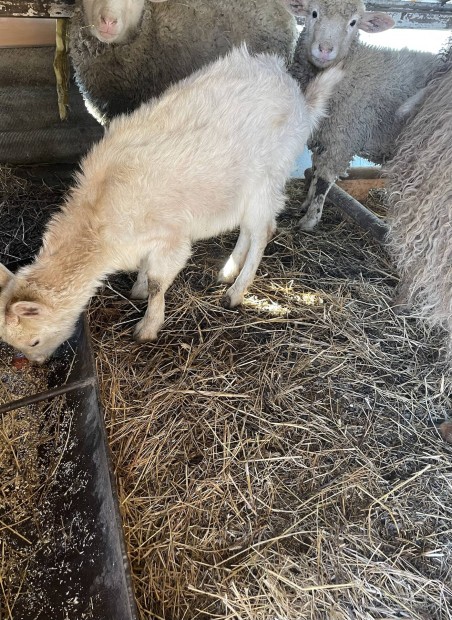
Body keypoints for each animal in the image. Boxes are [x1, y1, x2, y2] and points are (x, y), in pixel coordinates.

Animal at [0, 46, 342, 363]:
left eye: (33, 341)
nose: (39, 362)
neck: (98, 214)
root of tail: (299, 100)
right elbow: (145, 270)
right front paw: (137, 288)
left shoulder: (171, 237)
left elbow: (158, 282)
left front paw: (148, 327)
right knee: (247, 229)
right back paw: (227, 272)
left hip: (267, 178)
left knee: (263, 230)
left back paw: (235, 293)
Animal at [281, 0, 440, 232]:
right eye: (314, 13)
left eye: (353, 23)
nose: (325, 49)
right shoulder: (324, 138)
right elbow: (315, 170)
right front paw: (305, 204)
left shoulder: (343, 140)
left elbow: (323, 181)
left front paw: (310, 220)